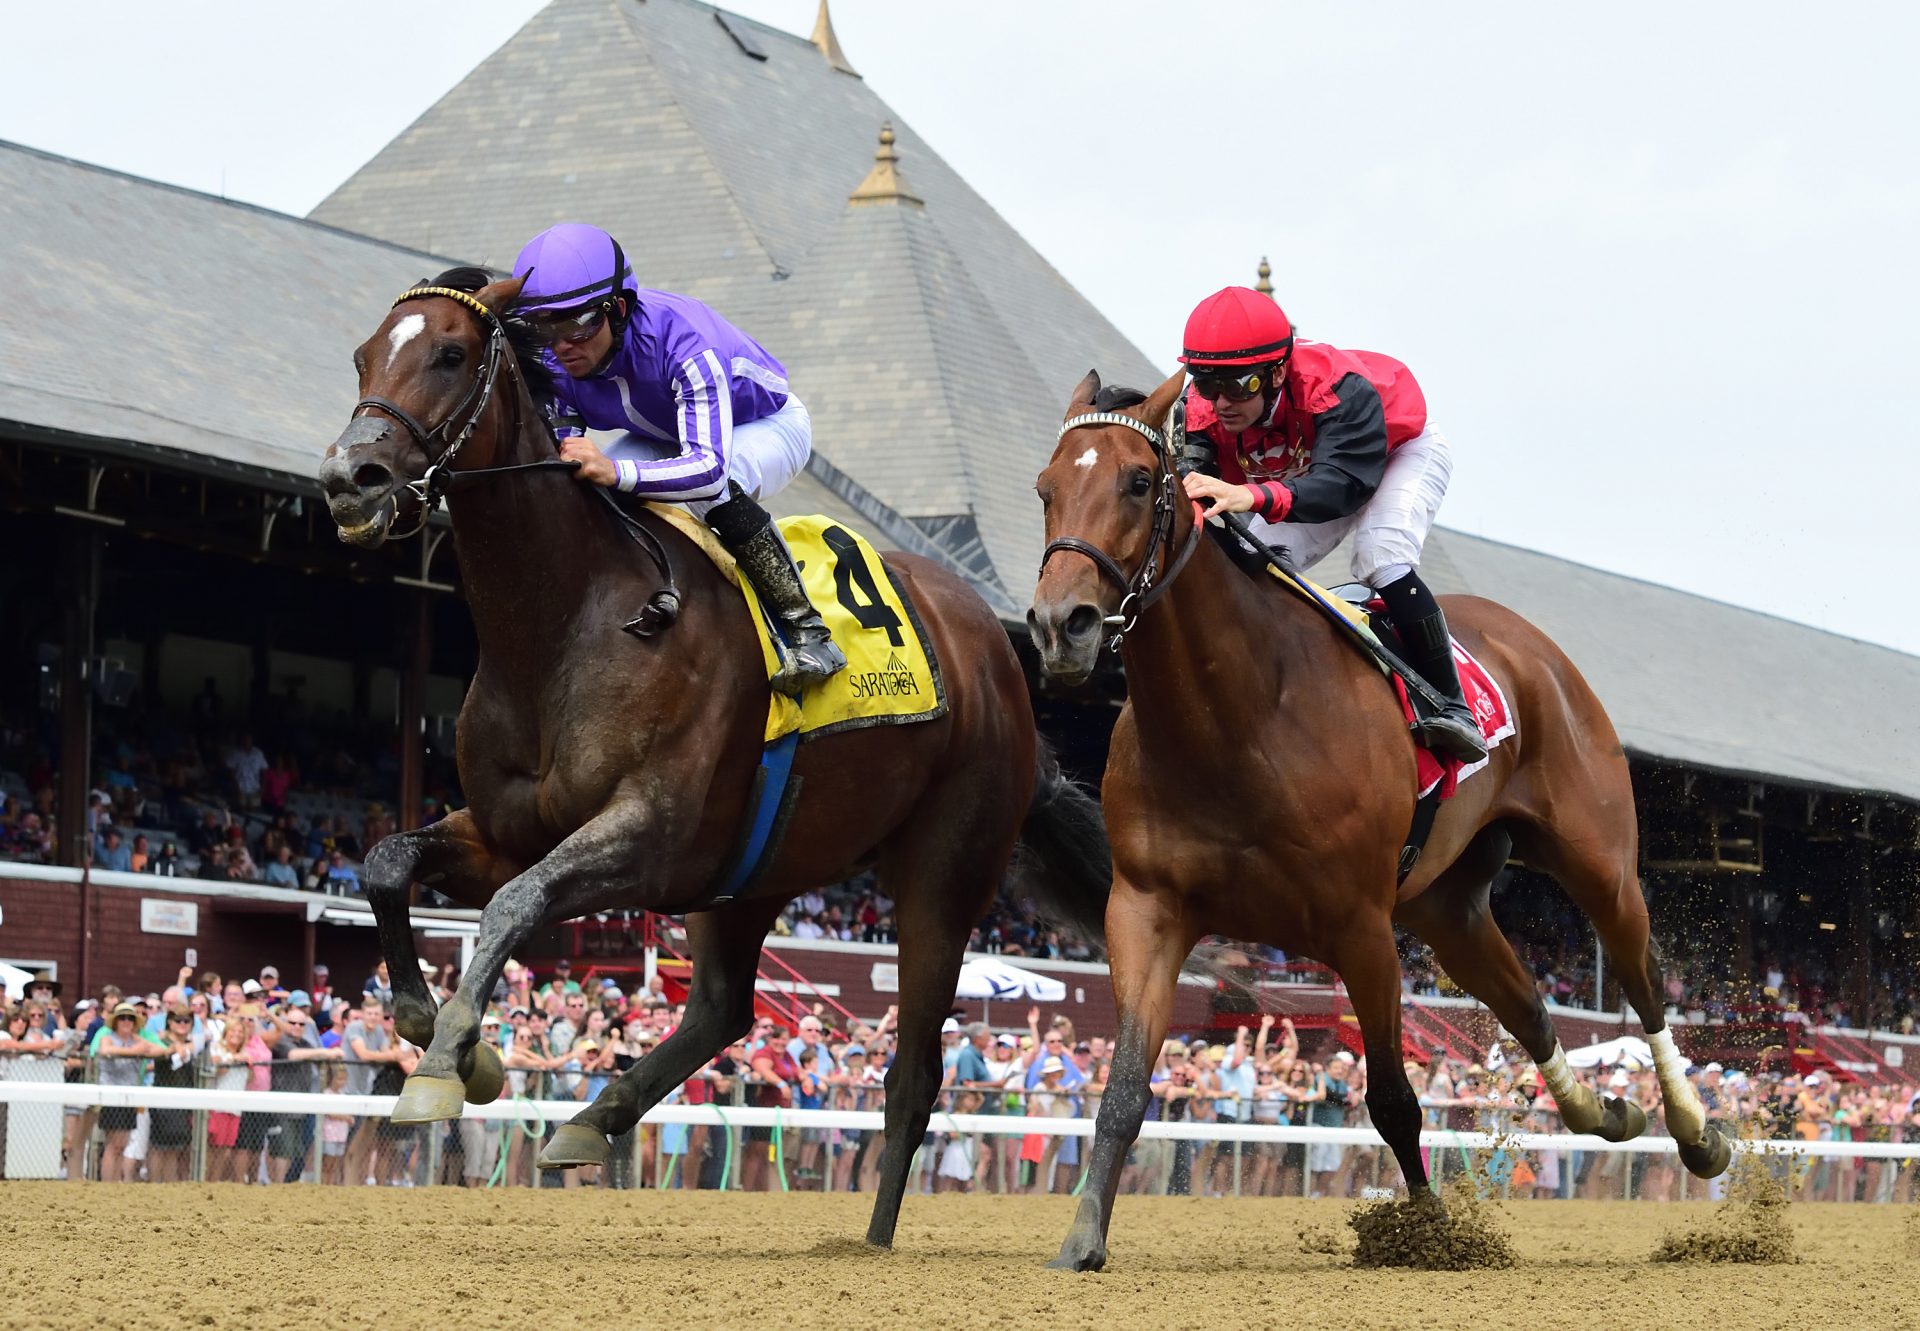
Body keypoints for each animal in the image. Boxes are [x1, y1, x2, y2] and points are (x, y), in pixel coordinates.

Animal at [307, 270, 1105, 1244]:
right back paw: (593, 1118)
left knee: (913, 1072)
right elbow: (390, 862)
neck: (565, 623)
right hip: (751, 871)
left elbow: (515, 904)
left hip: (943, 873)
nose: (351, 479)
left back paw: (874, 1240)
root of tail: (1000, 656)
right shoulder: (503, 832)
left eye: (450, 353)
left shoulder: (646, 837)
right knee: (726, 1007)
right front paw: (440, 1033)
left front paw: (442, 1065)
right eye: (362, 356)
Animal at [1029, 368, 1735, 1275]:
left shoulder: (1359, 926)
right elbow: (1121, 1087)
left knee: (1644, 984)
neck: (1238, 715)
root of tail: (1534, 645)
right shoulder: (1146, 909)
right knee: (1529, 1005)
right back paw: (1603, 1110)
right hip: (1447, 906)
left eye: (1139, 481)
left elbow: (1395, 1097)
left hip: (1598, 863)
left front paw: (1429, 1233)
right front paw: (1083, 1237)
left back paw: (1696, 1130)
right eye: (1046, 488)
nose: (1061, 626)